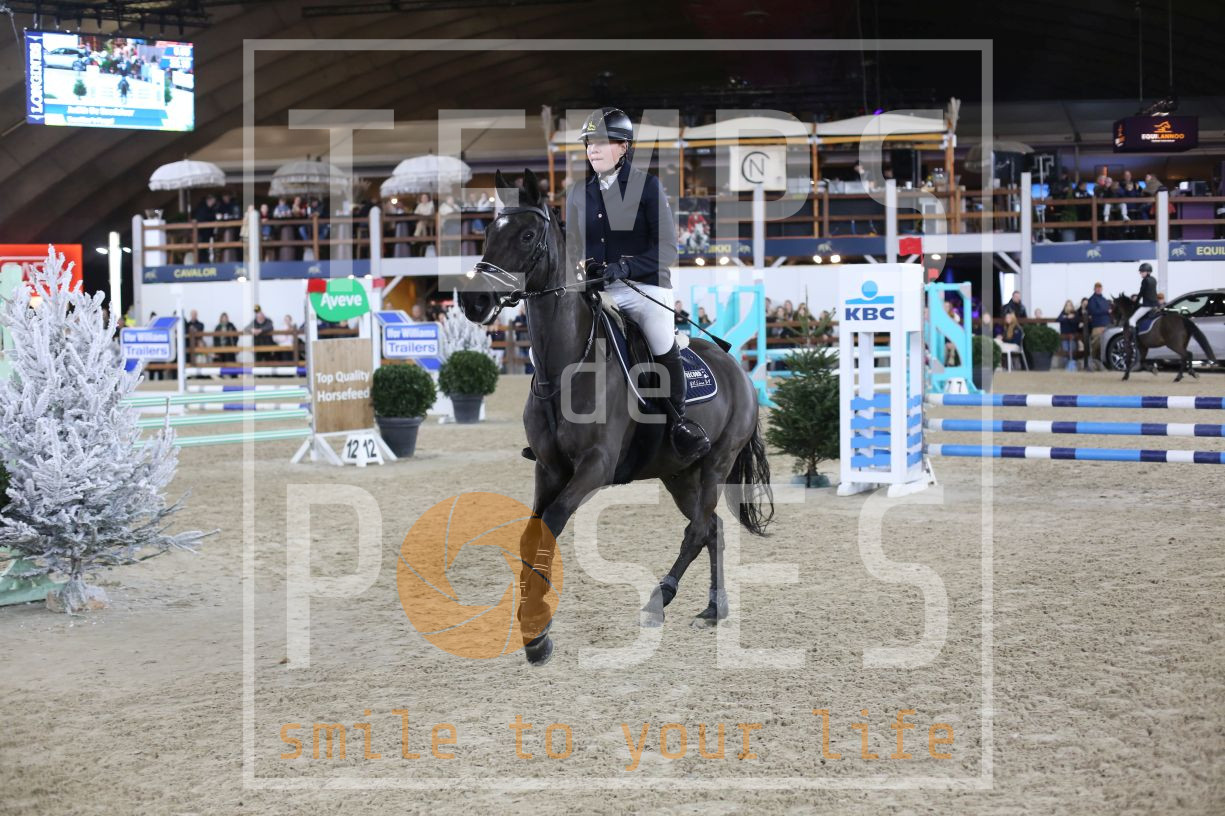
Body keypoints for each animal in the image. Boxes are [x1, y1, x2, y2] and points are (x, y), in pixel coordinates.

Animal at [457, 168, 774, 666]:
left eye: (527, 235)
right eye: (488, 232)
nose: (473, 303)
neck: (564, 368)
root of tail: (737, 368)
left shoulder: (595, 467)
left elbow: (552, 525)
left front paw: (538, 633)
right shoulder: (549, 469)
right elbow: (531, 535)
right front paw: (532, 630)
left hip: (716, 463)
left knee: (697, 529)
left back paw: (659, 599)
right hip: (679, 473)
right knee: (713, 529)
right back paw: (712, 608)